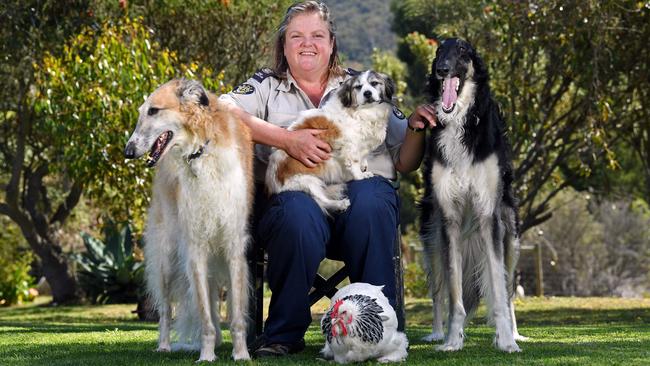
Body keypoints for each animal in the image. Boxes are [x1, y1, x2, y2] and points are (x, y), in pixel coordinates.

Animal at [124, 78, 253, 362]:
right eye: (140, 112)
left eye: (153, 111)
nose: (128, 151)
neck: (201, 151)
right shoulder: (196, 249)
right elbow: (204, 317)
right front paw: (206, 355)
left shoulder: (233, 248)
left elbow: (236, 317)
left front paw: (241, 353)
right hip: (166, 258)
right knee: (165, 311)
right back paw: (164, 345)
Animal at [264, 70, 394, 213]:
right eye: (358, 87)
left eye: (374, 83)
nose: (367, 93)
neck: (364, 112)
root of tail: (272, 184)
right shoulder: (351, 146)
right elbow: (354, 163)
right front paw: (360, 175)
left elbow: (363, 156)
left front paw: (363, 165)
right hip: (308, 181)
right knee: (321, 200)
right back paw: (340, 204)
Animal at [418, 38, 524, 354]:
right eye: (439, 51)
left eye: (463, 51)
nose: (442, 70)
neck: (459, 123)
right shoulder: (449, 221)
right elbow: (454, 297)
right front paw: (453, 340)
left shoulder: (489, 217)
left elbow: (499, 291)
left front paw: (506, 340)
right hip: (432, 239)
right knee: (438, 292)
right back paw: (437, 333)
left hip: (511, 238)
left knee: (508, 290)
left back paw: (515, 334)